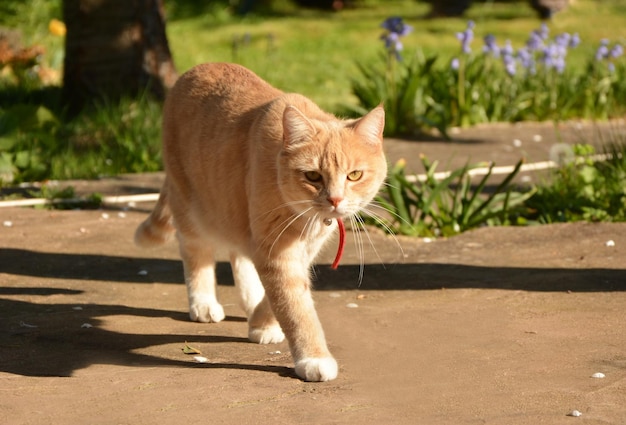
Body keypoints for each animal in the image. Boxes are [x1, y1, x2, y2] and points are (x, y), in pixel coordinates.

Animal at [134, 62, 382, 380]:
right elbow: (294, 305)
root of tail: (198, 68)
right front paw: (313, 357)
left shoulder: (298, 249)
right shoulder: (276, 250)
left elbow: (279, 295)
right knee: (196, 253)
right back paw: (203, 303)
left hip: (233, 211)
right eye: (312, 176)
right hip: (192, 208)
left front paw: (261, 322)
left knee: (238, 253)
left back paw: (250, 299)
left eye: (354, 175)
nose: (335, 200)